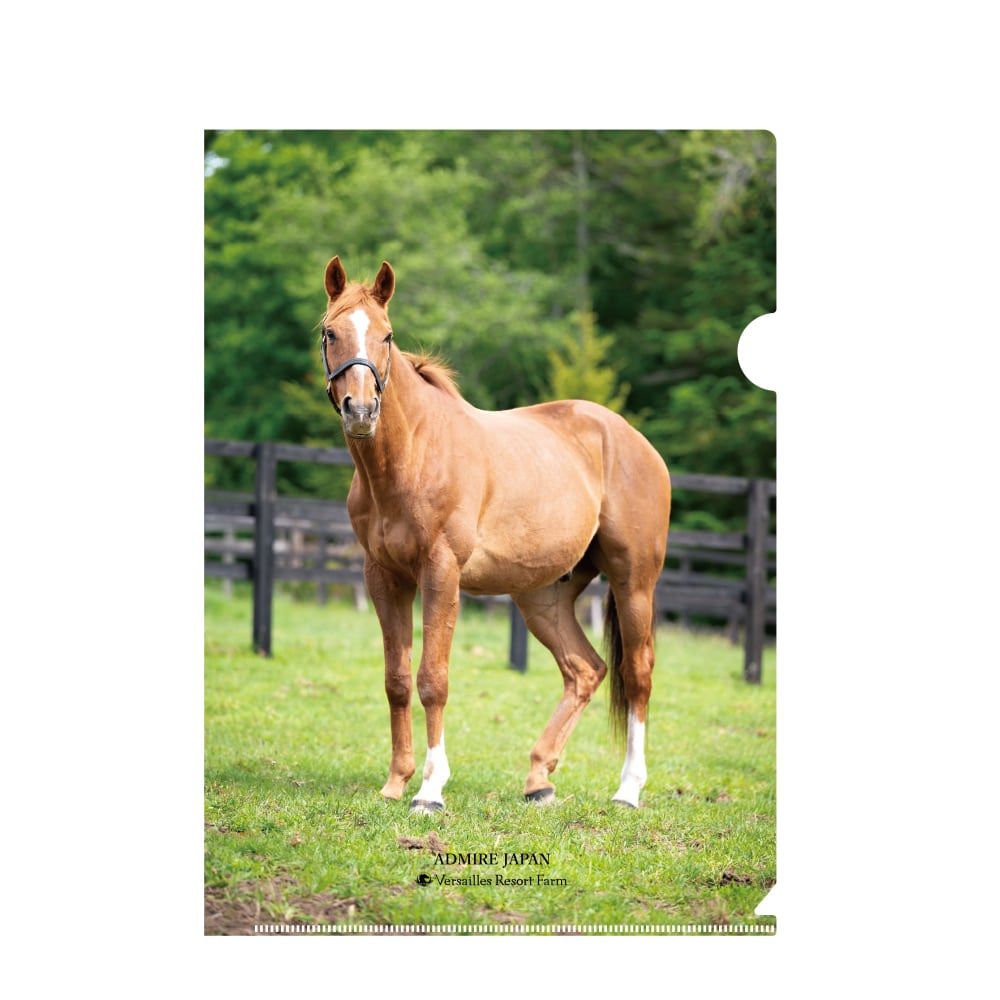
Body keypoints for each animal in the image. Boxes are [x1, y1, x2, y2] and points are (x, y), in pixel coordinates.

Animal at [320, 256, 671, 813]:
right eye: (330, 332)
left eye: (387, 335)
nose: (361, 410)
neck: (414, 454)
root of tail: (633, 441)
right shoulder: (383, 577)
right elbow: (397, 680)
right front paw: (396, 782)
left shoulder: (441, 572)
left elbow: (432, 680)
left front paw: (430, 789)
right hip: (542, 596)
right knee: (585, 669)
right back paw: (538, 779)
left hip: (634, 582)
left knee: (637, 674)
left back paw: (628, 790)